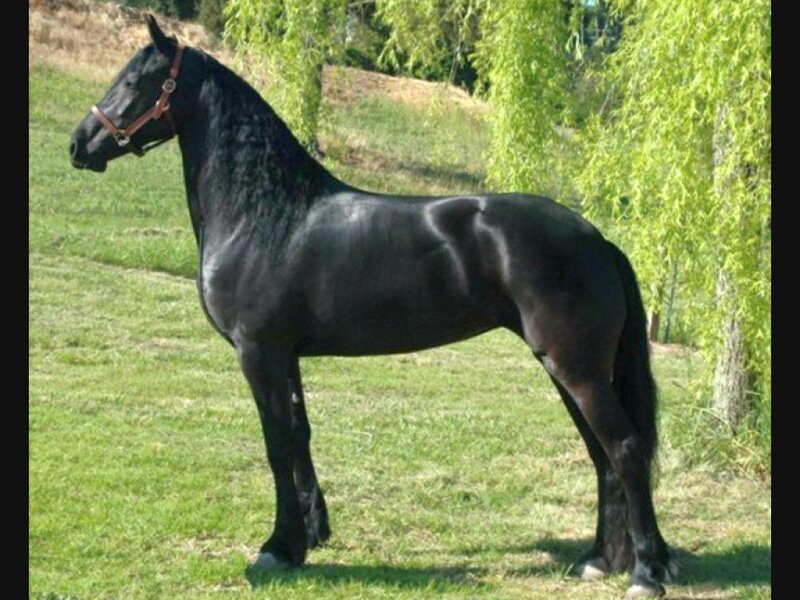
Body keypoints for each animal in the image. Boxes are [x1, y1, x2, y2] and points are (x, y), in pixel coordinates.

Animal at [69, 15, 678, 599]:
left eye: (135, 81)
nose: (80, 143)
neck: (266, 215)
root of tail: (597, 239)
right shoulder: (286, 356)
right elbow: (299, 437)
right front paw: (311, 534)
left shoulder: (258, 352)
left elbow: (275, 444)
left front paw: (277, 547)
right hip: (568, 369)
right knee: (602, 457)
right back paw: (598, 560)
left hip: (577, 370)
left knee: (624, 449)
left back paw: (645, 573)